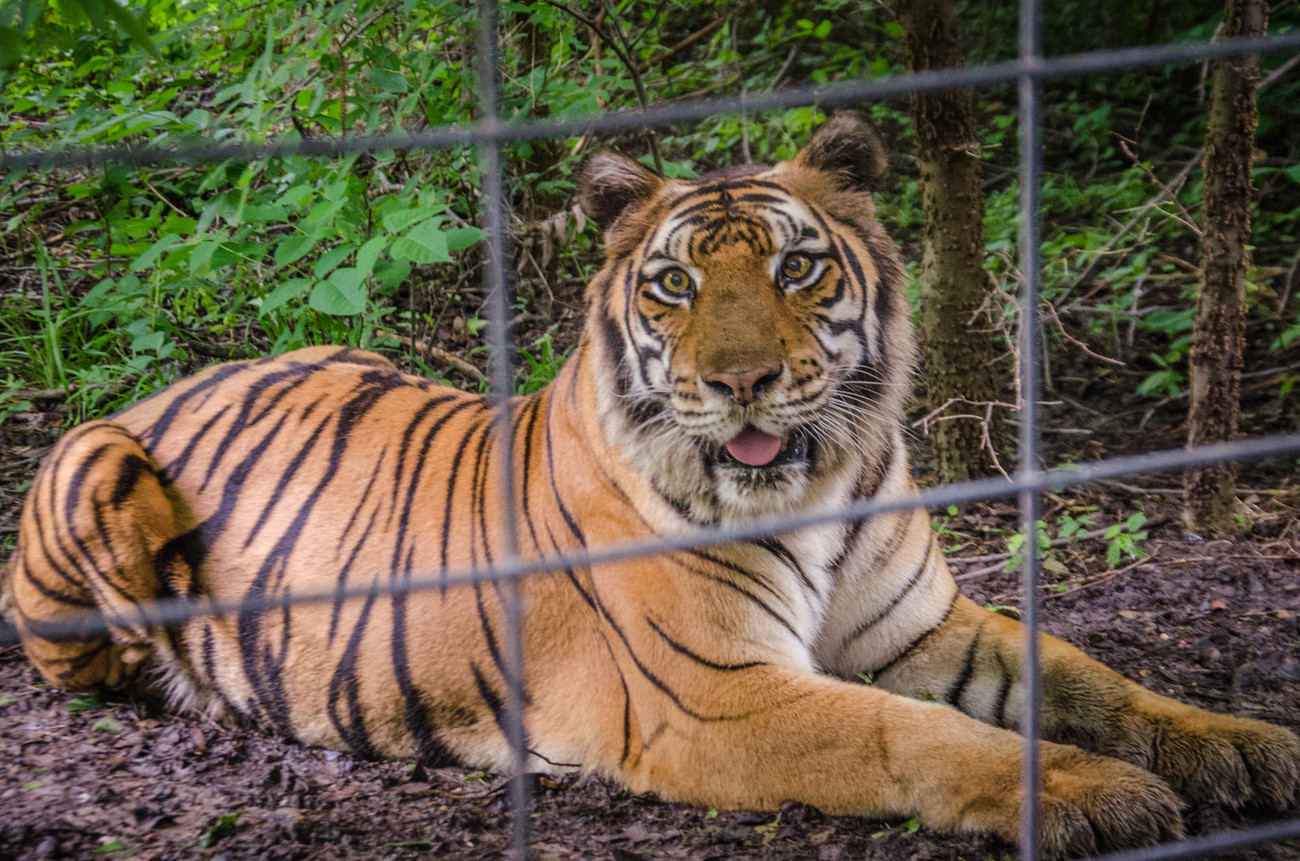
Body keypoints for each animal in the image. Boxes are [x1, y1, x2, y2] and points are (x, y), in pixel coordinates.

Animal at [2, 113, 1300, 858]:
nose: (741, 382)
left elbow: (1087, 677)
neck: (822, 483)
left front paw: (1242, 748)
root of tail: (183, 380)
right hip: (97, 468)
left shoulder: (924, 631)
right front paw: (1095, 795)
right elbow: (918, 738)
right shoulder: (719, 695)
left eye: (796, 267)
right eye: (673, 285)